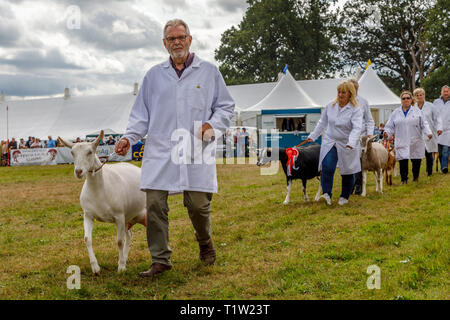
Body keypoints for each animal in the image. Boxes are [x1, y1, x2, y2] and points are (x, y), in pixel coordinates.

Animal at [58, 131, 146, 276]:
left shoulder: (119, 216)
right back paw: (125, 258)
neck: (99, 190)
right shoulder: (88, 215)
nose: (78, 172)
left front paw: (120, 267)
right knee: (129, 235)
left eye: (90, 152)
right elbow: (87, 239)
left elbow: (119, 241)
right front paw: (96, 268)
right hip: (128, 218)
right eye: (72, 152)